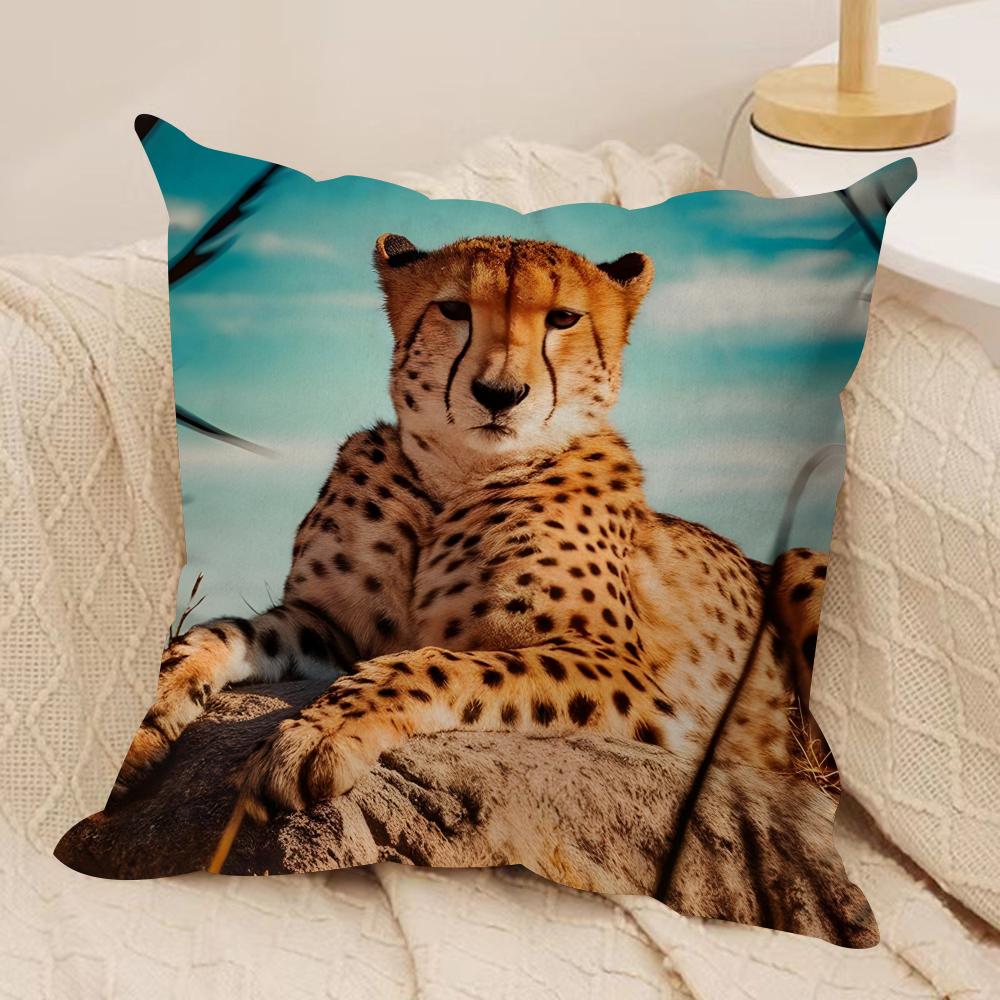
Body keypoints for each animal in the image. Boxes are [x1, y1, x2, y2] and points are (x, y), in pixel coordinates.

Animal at [116, 233, 830, 824]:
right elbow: (218, 633)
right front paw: (137, 717)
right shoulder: (330, 626)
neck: (456, 481)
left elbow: (438, 664)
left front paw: (315, 738)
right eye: (455, 310)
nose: (499, 394)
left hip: (804, 568)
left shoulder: (627, 672)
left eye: (563, 318)